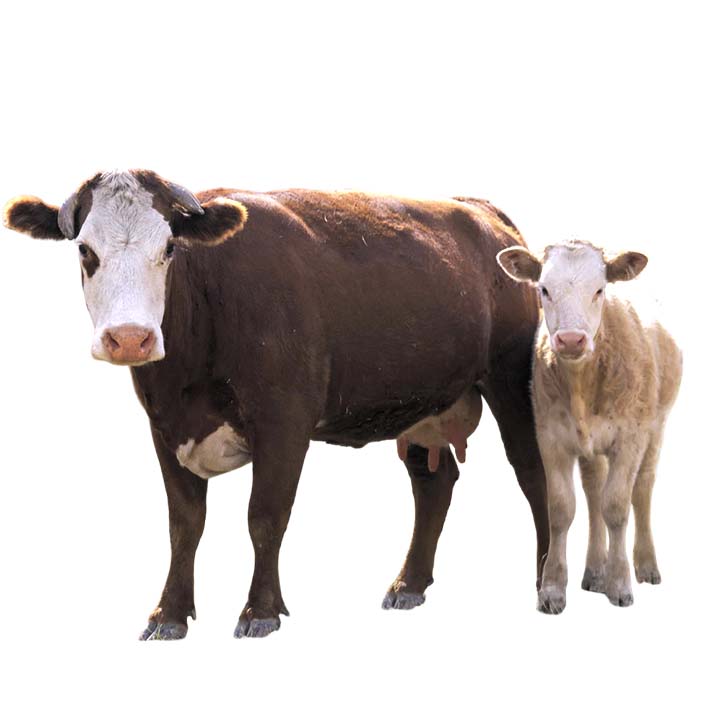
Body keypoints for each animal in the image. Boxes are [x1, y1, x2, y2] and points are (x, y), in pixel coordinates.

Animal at [4, 170, 549, 638]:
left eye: (170, 248)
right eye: (84, 250)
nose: (130, 338)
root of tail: (478, 208)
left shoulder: (284, 423)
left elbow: (264, 517)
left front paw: (260, 610)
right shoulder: (164, 428)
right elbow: (184, 524)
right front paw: (169, 614)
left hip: (510, 379)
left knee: (534, 473)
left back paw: (547, 582)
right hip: (422, 397)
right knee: (433, 483)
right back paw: (409, 584)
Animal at [497, 240, 682, 613]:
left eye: (599, 290)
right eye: (544, 289)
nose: (571, 340)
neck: (584, 382)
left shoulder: (630, 439)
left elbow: (617, 507)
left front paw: (620, 583)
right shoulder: (551, 438)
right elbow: (561, 508)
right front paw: (553, 588)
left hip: (657, 425)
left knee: (642, 489)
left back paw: (645, 565)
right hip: (590, 447)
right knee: (594, 490)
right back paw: (595, 570)